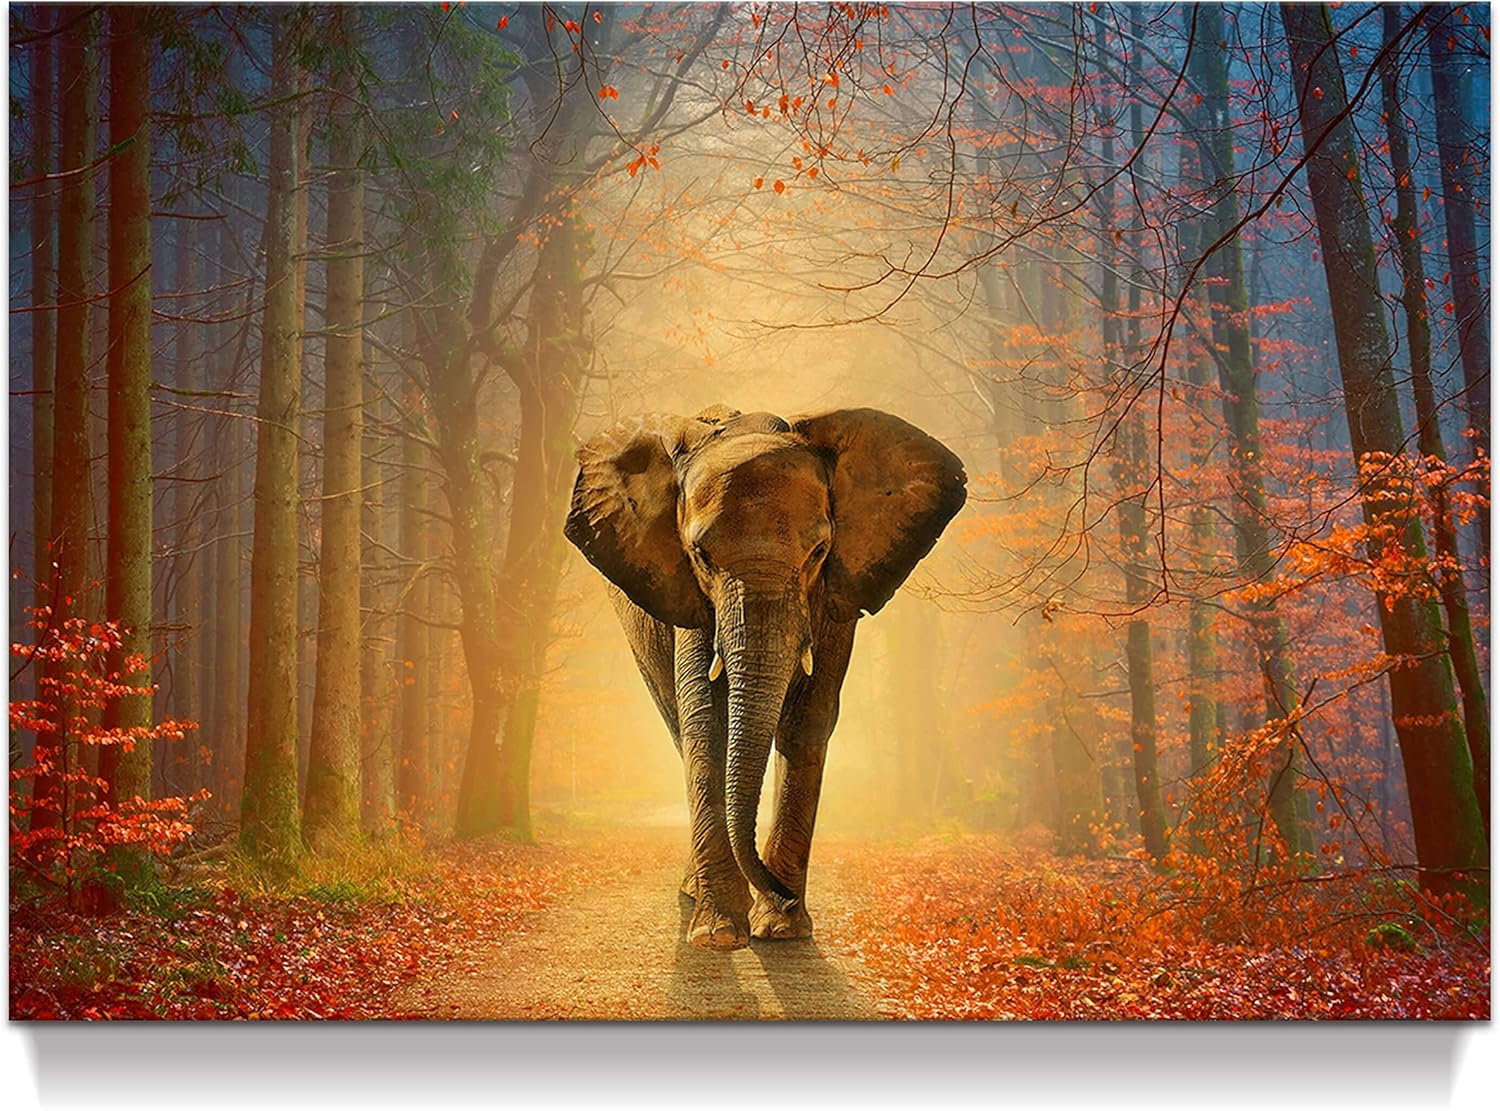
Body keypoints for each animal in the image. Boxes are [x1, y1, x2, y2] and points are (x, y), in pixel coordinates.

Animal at [564, 405, 966, 950]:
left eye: (819, 551)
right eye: (701, 556)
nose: (782, 893)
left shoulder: (835, 594)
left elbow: (808, 719)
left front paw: (780, 929)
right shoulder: (691, 597)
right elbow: (705, 721)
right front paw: (718, 936)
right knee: (677, 723)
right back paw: (696, 892)